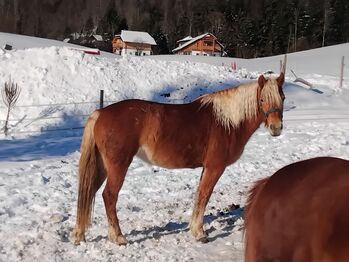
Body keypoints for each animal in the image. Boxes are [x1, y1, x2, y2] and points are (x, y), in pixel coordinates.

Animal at [72, 73, 284, 246]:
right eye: (262, 99)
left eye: (282, 97)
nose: (276, 128)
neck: (227, 122)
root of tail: (100, 113)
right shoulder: (215, 167)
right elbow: (204, 196)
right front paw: (200, 234)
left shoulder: (206, 168)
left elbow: (199, 196)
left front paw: (194, 229)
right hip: (118, 166)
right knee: (109, 196)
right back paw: (118, 237)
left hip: (102, 166)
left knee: (88, 191)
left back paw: (79, 235)